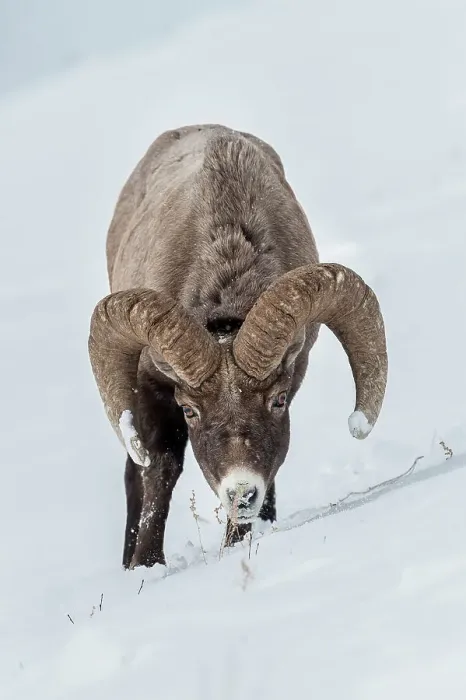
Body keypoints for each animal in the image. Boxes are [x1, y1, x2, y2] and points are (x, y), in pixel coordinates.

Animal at [88, 124, 388, 569]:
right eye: (190, 410)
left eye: (277, 400)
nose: (242, 493)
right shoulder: (152, 389)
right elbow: (160, 468)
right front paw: (146, 565)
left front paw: (238, 542)